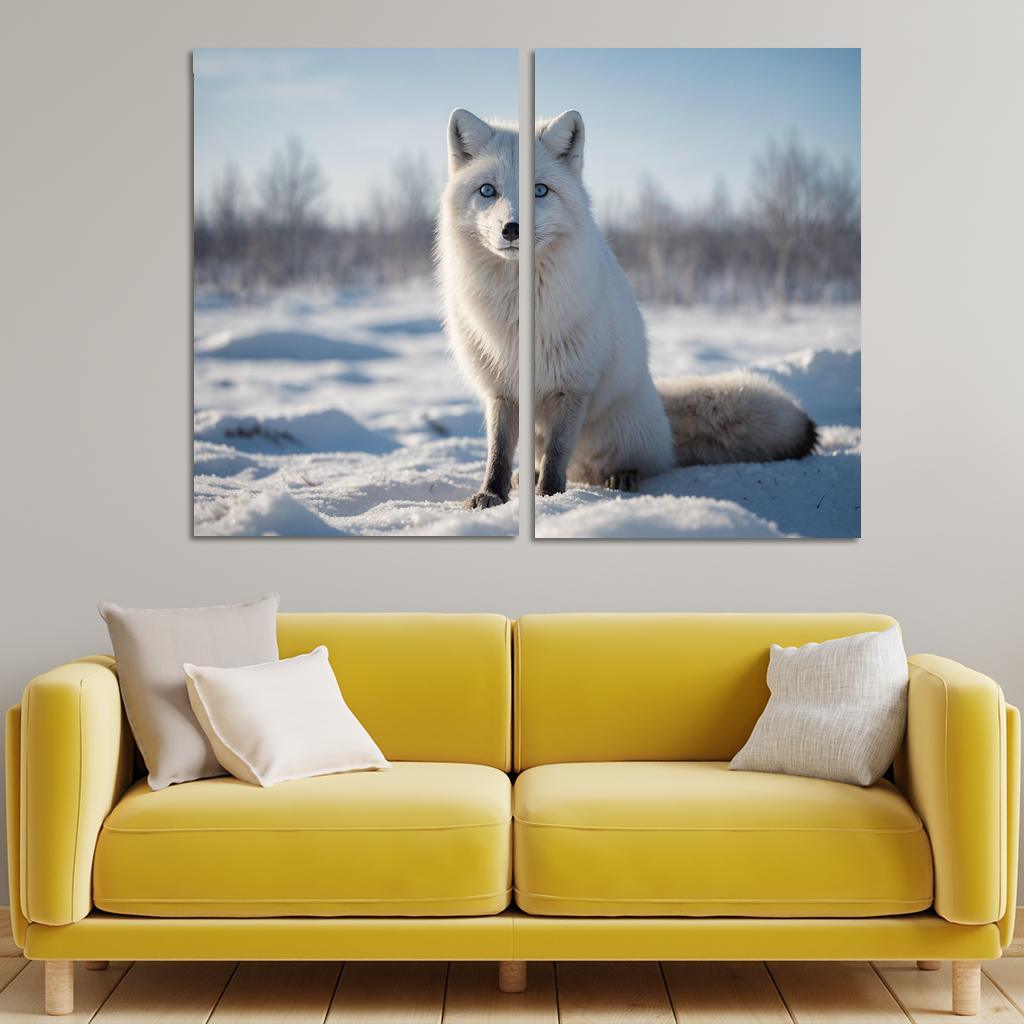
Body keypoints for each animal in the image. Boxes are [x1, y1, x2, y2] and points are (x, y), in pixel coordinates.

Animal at [436, 108, 817, 509]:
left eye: (539, 190)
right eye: (487, 190)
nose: (512, 229)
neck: (517, 308)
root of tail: (657, 403)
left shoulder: (573, 386)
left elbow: (557, 453)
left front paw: (551, 498)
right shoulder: (501, 389)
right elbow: (498, 451)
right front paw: (491, 494)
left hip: (620, 430)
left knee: (637, 462)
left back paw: (622, 476)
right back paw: (527, 477)